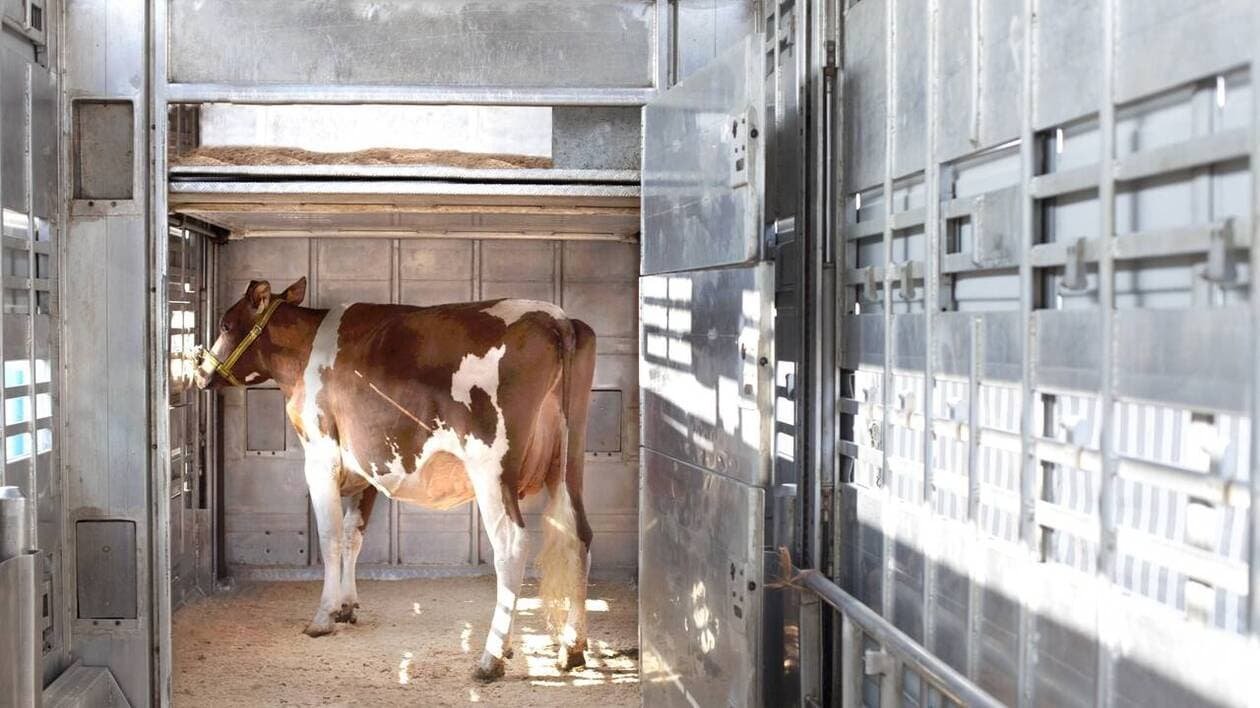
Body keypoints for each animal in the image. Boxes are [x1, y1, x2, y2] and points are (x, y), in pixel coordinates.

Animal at [193, 277, 597, 681]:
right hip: (570, 460)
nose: (200, 374)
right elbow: (354, 535)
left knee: (511, 544)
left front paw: (323, 616)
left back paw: (491, 658)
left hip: (491, 468)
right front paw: (347, 605)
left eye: (225, 325)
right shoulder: (366, 469)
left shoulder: (321, 457)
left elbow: (331, 538)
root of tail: (556, 317)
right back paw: (572, 648)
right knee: (578, 534)